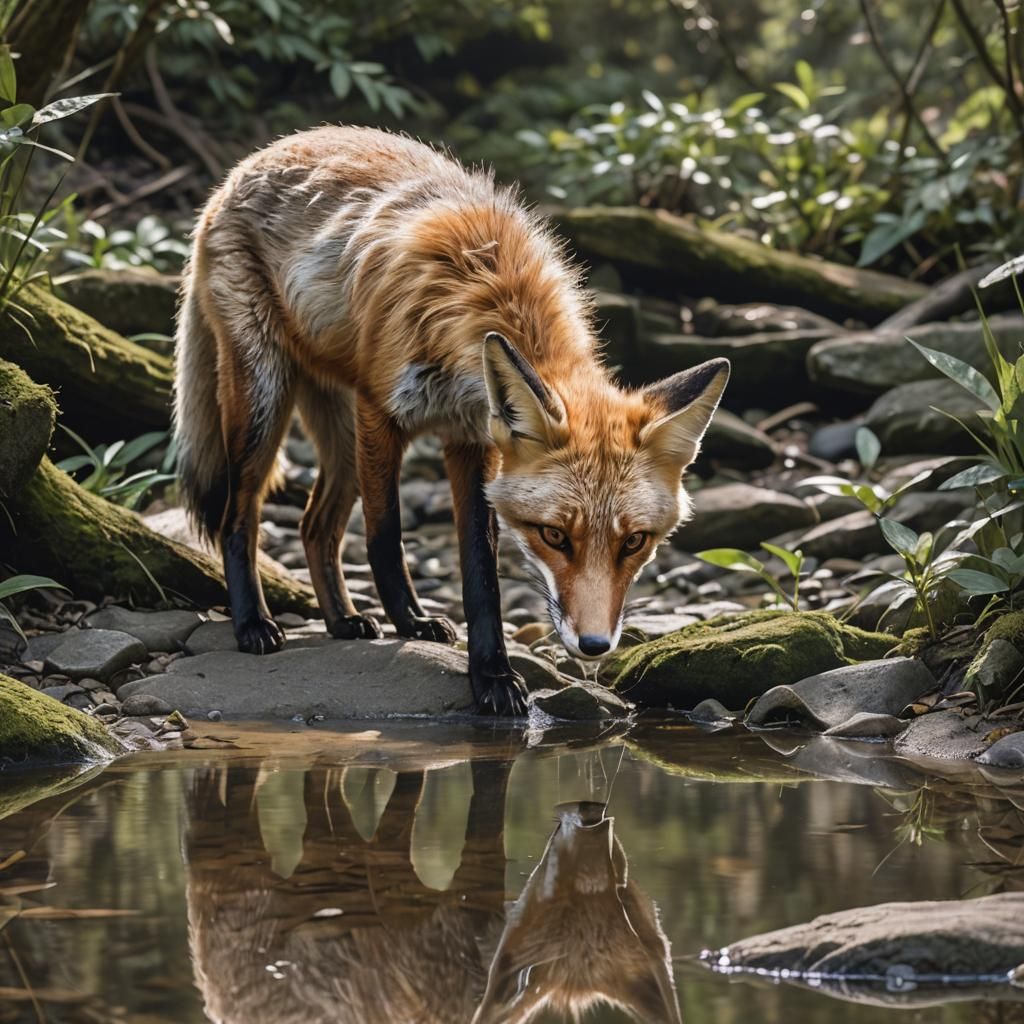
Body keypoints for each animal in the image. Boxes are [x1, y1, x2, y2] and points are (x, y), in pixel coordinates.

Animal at [174, 125, 730, 715]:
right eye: (554, 536)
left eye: (634, 542)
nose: (595, 645)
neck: (479, 288)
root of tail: (246, 166)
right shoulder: (381, 412)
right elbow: (385, 536)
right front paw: (412, 622)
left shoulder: (472, 440)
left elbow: (480, 570)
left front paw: (490, 673)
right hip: (267, 400)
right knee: (238, 516)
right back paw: (253, 623)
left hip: (339, 439)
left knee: (313, 525)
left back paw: (342, 619)